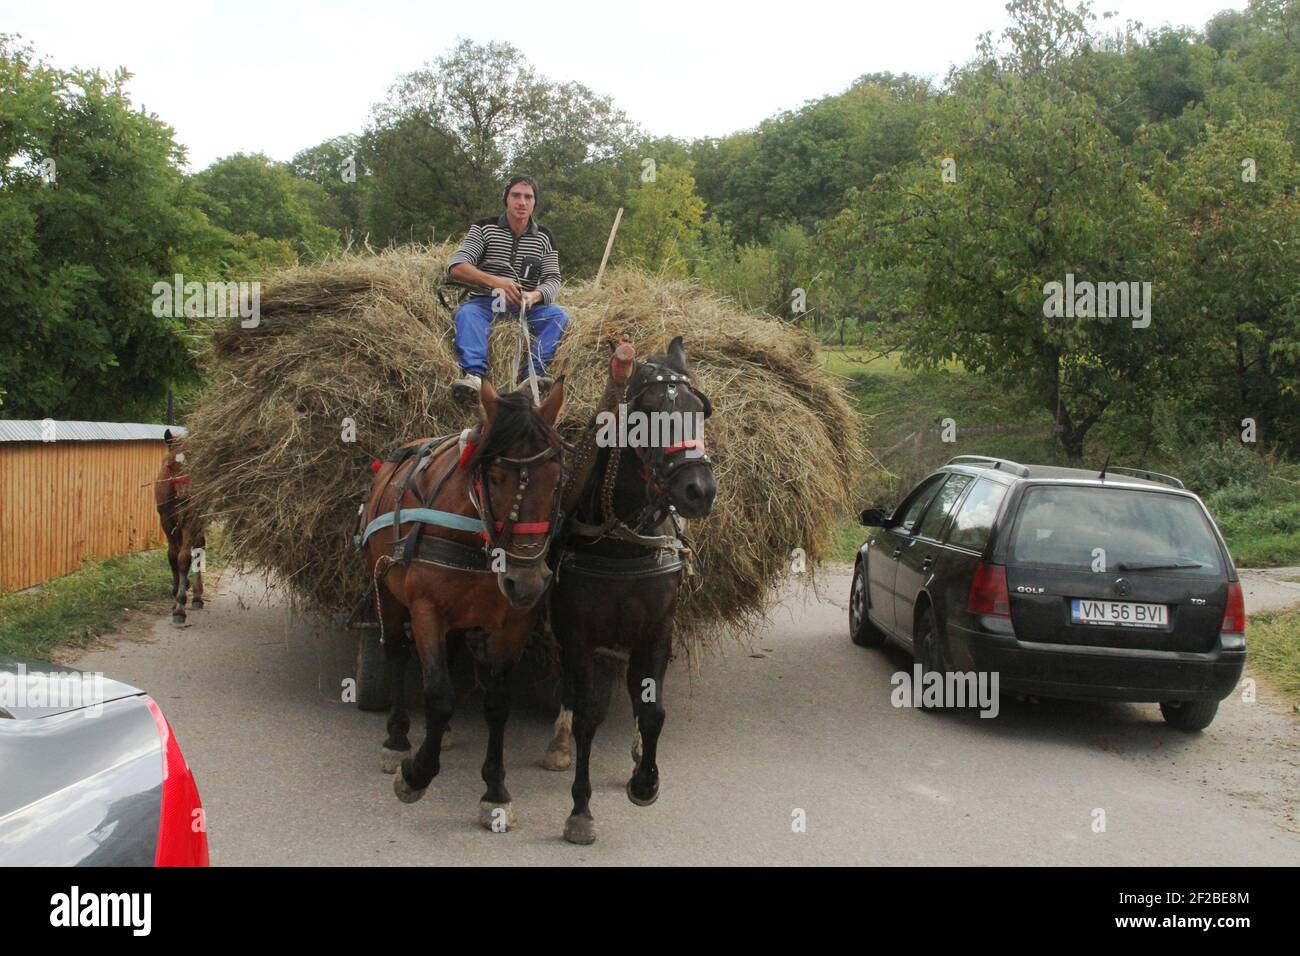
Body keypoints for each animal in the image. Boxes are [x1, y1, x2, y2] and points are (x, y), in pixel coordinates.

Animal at [155, 428, 206, 625]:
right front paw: (176, 590)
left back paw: (197, 596)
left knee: (199, 548)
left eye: (195, 465)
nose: (185, 499)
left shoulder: (190, 520)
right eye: (170, 466)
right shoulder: (166, 521)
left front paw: (180, 607)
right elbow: (172, 555)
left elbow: (183, 558)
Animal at [360, 378, 567, 830]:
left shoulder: (513, 623)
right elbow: (438, 693)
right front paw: (416, 774)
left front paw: (495, 791)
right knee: (397, 653)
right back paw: (398, 739)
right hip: (387, 590)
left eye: (557, 477)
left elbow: (497, 703)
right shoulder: (425, 608)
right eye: (495, 476)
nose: (526, 582)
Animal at [545, 336, 718, 844]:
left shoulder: (657, 629)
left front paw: (645, 781)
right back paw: (559, 740)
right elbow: (587, 714)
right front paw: (580, 809)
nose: (699, 490)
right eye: (646, 412)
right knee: (570, 685)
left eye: (700, 410)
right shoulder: (578, 633)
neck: (623, 542)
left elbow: (653, 708)